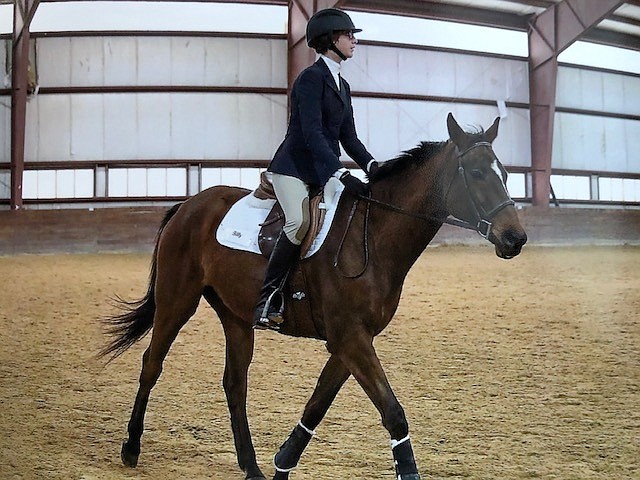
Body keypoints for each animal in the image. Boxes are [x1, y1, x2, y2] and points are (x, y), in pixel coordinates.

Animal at [100, 113, 528, 480]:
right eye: (476, 173)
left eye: (507, 174)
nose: (515, 238)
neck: (372, 236)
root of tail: (189, 205)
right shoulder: (350, 338)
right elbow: (392, 411)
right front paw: (407, 471)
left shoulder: (351, 341)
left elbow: (317, 406)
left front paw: (282, 463)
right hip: (177, 301)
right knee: (152, 365)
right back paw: (131, 447)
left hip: (236, 316)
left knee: (235, 384)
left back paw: (251, 466)